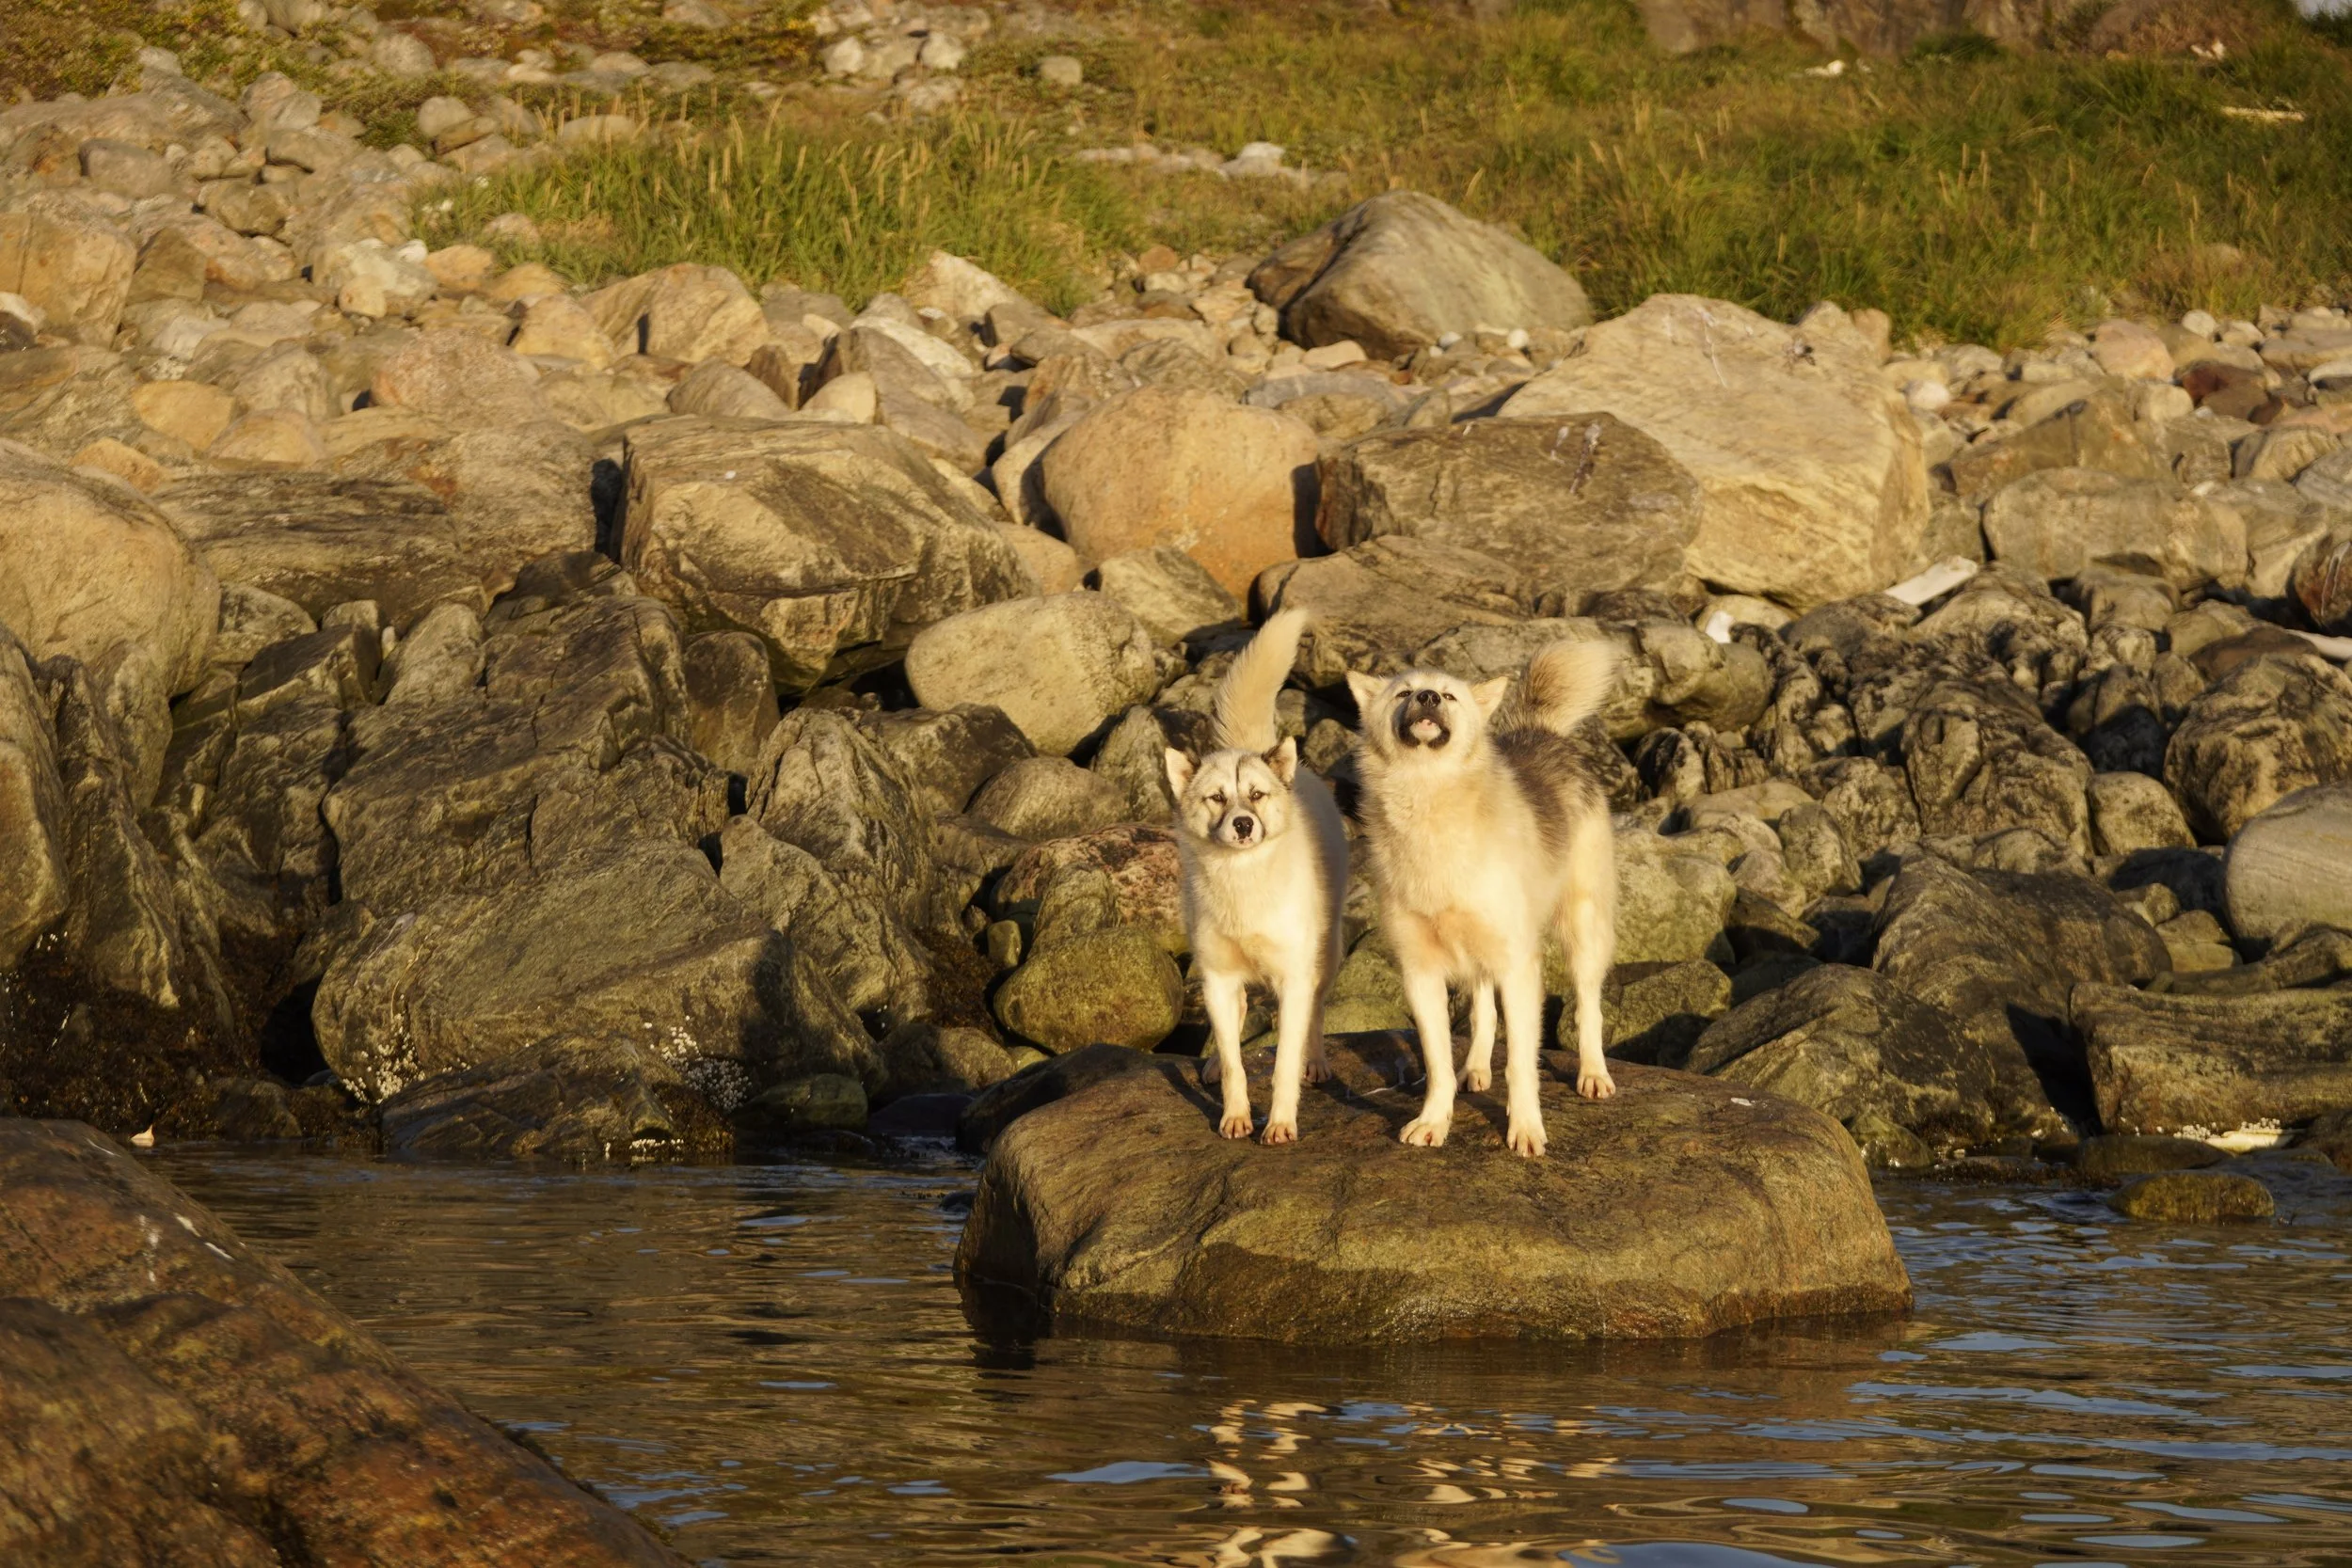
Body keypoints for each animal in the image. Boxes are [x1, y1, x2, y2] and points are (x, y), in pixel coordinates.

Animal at [1162, 610, 1345, 1142]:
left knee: (1317, 1013)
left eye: (1257, 795)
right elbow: (1234, 1059)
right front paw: (1235, 1115)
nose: (1243, 825)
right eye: (1217, 798)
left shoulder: (1292, 978)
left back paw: (1316, 1062)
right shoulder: (1218, 977)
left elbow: (1284, 1060)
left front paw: (1281, 1122)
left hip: (1326, 952)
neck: (1243, 885)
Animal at [1345, 629, 1618, 1161]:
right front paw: (1434, 1121)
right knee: (1482, 1009)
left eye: (1449, 696)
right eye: (1404, 692)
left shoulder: (1519, 965)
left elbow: (1521, 1063)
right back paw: (1474, 1067)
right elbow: (1437, 1063)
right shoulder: (1421, 973)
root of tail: (1544, 732)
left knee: (1588, 1005)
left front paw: (1526, 1128)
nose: (1428, 698)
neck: (1429, 803)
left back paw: (1593, 1073)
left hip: (1581, 929)